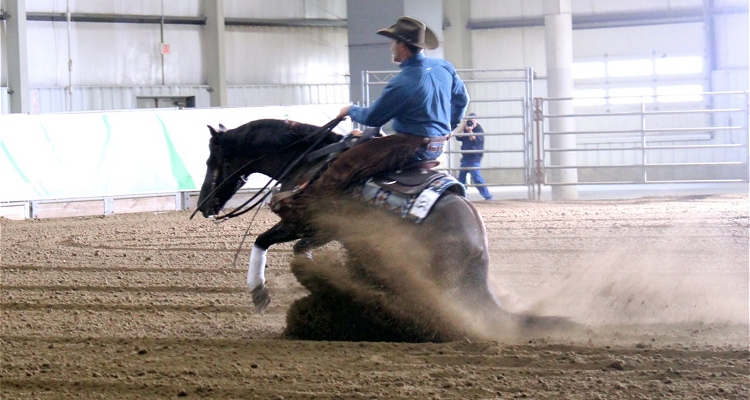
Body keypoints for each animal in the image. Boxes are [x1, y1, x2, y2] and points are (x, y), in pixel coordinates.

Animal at [197, 118, 572, 340]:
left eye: (212, 160)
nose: (204, 205)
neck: (309, 160)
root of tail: (479, 244)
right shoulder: (326, 230)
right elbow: (300, 249)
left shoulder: (302, 219)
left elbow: (262, 241)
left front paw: (259, 292)